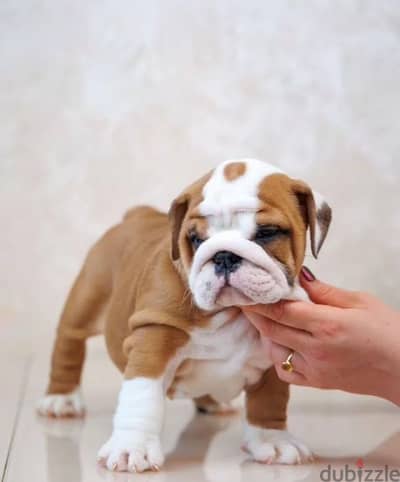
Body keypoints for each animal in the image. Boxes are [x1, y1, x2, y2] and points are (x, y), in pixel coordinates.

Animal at [37, 158, 332, 470]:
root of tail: (136, 214)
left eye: (267, 233)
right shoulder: (154, 341)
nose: (224, 255)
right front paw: (132, 447)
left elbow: (270, 401)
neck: (232, 311)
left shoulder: (275, 357)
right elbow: (141, 398)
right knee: (69, 343)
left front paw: (273, 441)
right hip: (88, 297)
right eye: (195, 239)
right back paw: (61, 399)